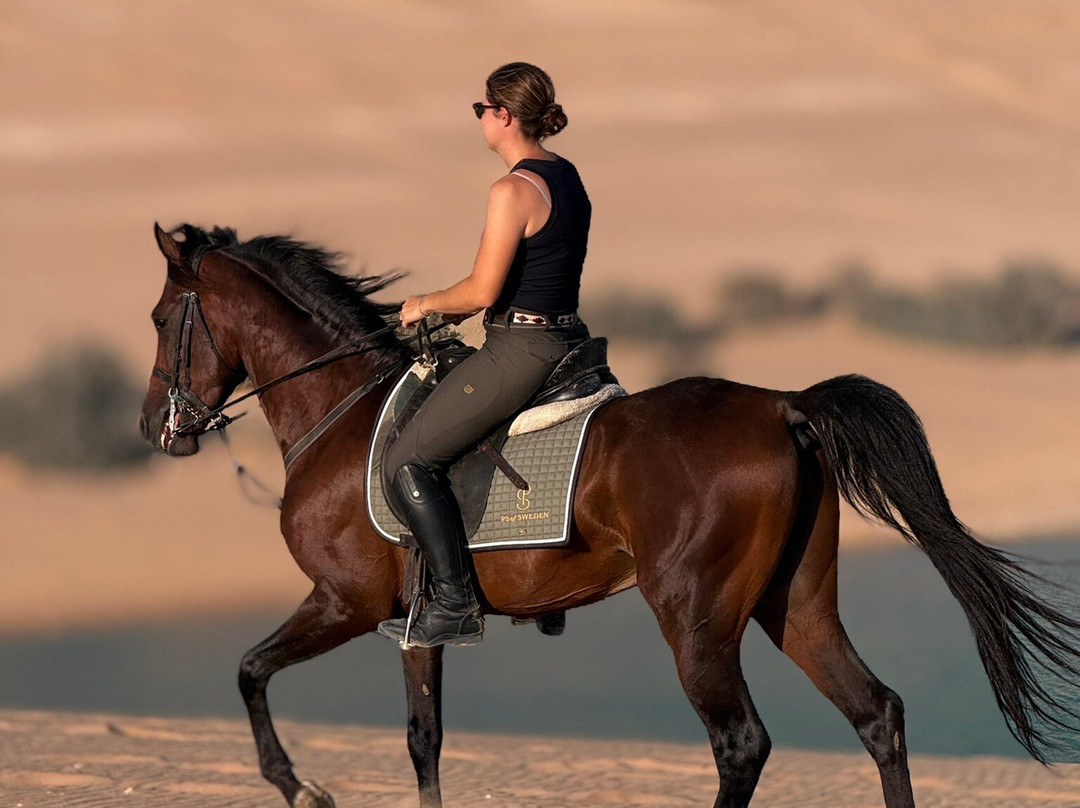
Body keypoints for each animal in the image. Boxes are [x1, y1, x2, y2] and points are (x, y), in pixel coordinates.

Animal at [139, 222, 1080, 808]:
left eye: (156, 319)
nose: (156, 428)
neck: (342, 412)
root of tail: (782, 405)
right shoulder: (412, 626)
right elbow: (423, 741)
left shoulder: (344, 603)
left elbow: (250, 672)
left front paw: (301, 786)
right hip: (797, 604)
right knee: (876, 713)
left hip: (695, 619)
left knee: (742, 743)